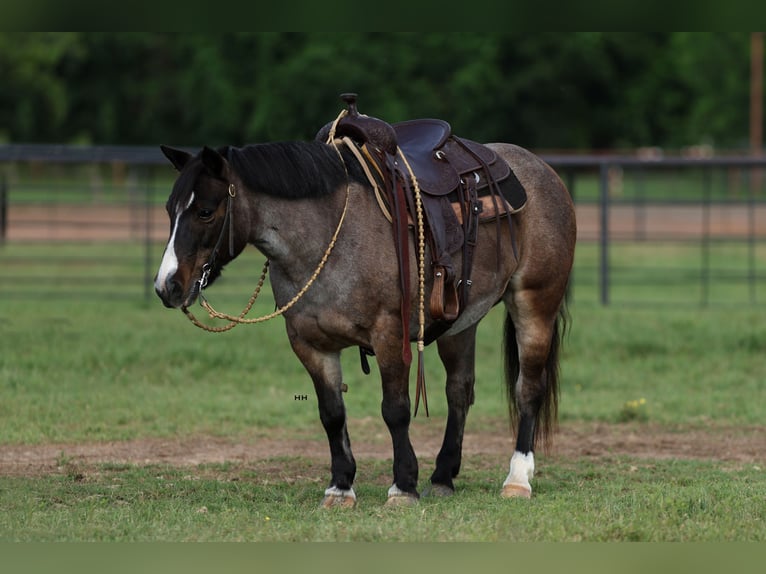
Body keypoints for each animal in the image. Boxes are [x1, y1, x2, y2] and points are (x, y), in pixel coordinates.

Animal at [154, 118, 576, 508]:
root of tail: (543, 170)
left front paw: (402, 486)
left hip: (535, 304)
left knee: (528, 389)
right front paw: (340, 487)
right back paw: (442, 477)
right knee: (460, 390)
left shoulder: (389, 334)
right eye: (170, 209)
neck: (328, 236)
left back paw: (517, 479)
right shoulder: (309, 343)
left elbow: (395, 410)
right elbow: (332, 414)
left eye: (205, 211)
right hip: (461, 322)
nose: (166, 286)